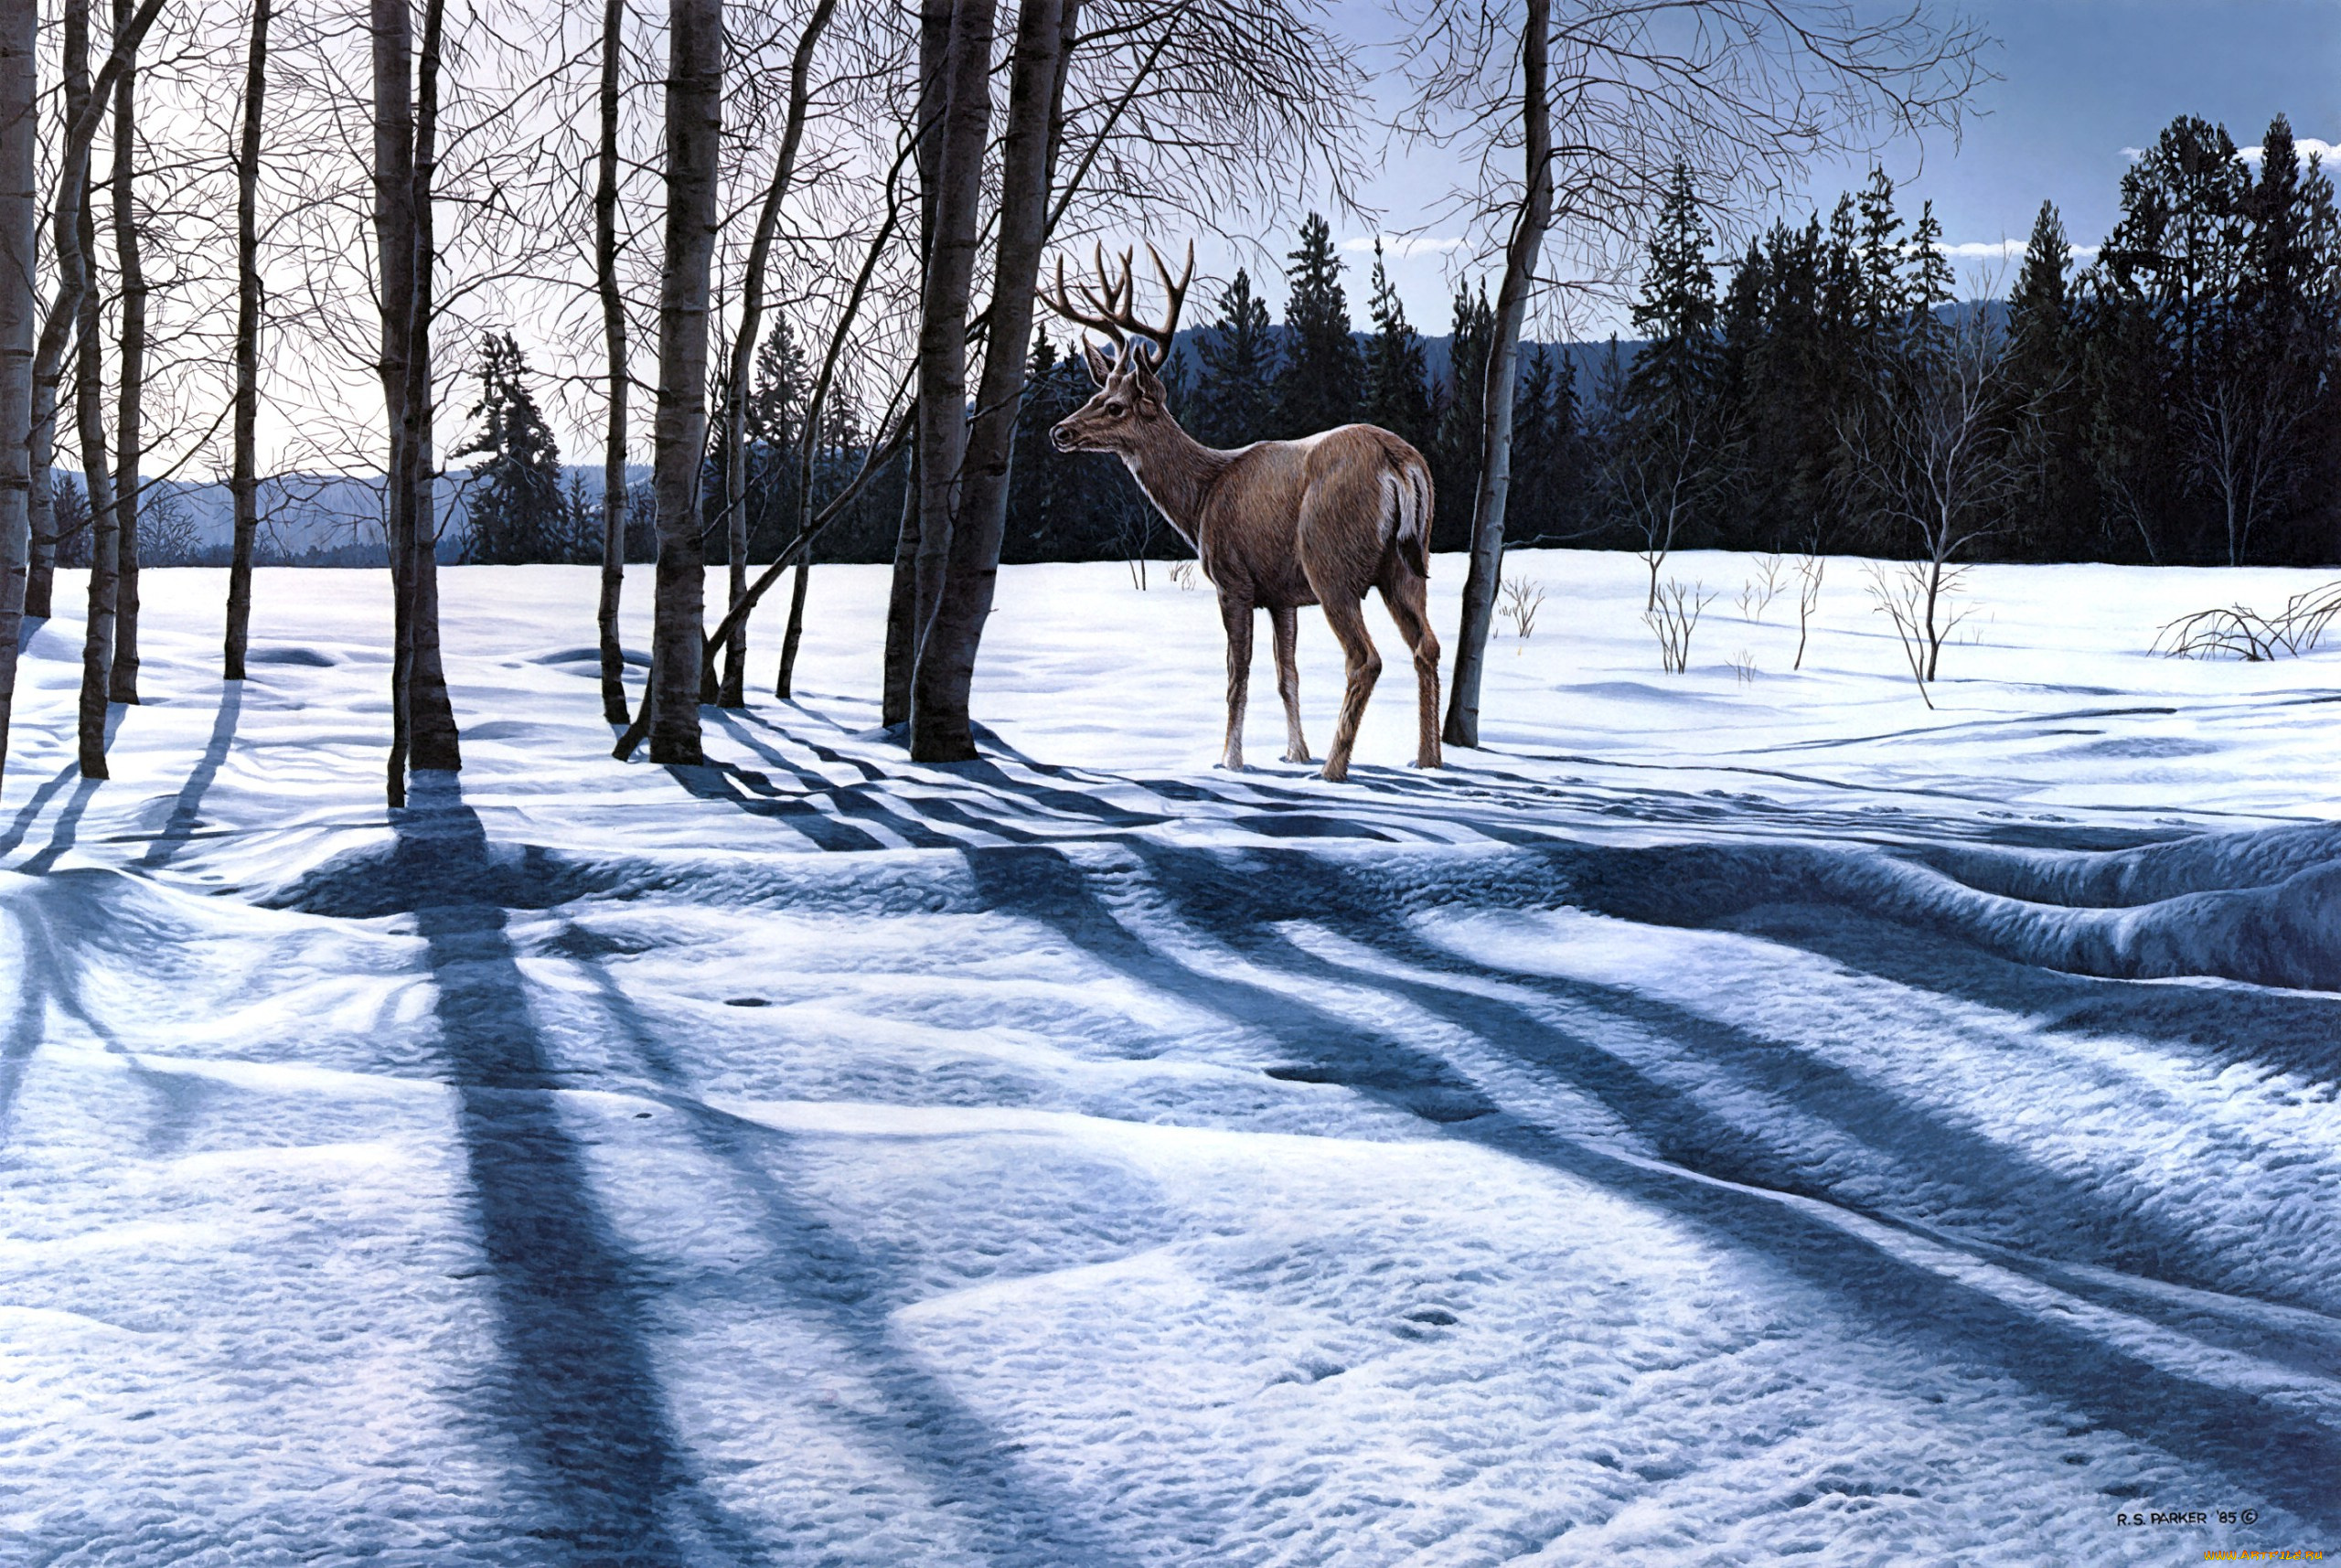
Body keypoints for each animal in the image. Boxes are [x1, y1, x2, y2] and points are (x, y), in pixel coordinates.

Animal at [1040, 242, 1442, 783]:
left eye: (1116, 407)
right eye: (1094, 395)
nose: (1060, 431)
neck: (1201, 498)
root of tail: (1396, 460)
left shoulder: (1234, 579)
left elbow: (1238, 674)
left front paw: (1231, 760)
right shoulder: (1282, 595)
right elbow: (1287, 673)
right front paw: (1294, 752)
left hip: (1330, 560)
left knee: (1365, 658)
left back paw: (1334, 769)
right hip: (1406, 563)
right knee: (1427, 647)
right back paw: (1427, 760)